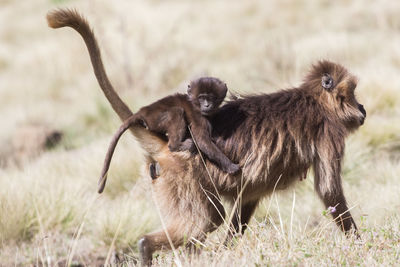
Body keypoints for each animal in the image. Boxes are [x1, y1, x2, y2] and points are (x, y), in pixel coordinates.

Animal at [98, 76, 239, 194]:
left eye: (212, 98)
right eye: (202, 98)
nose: (207, 105)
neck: (195, 105)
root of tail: (144, 111)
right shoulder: (199, 117)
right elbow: (202, 140)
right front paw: (231, 166)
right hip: (156, 120)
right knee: (176, 112)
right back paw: (178, 145)